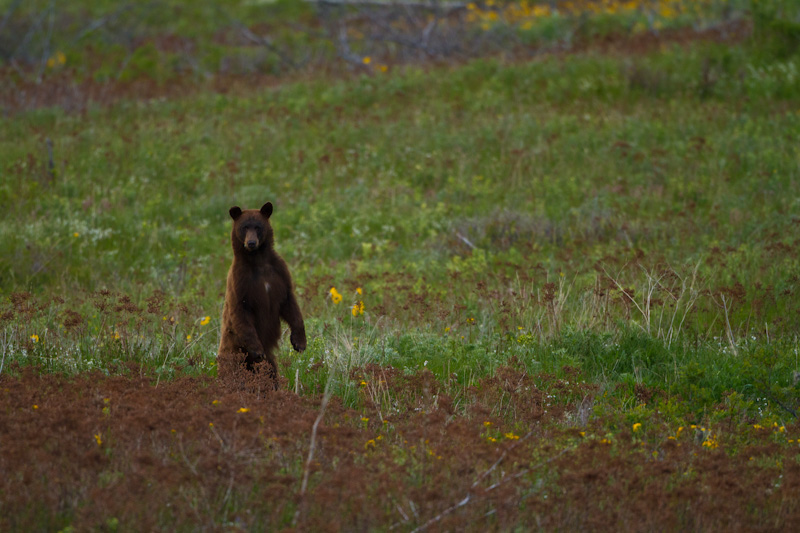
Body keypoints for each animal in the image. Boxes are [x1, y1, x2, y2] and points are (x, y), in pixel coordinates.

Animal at [216, 201, 306, 386]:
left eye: (258, 226)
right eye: (244, 227)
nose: (251, 242)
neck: (258, 261)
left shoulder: (280, 274)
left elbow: (290, 303)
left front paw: (299, 342)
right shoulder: (240, 281)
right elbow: (241, 311)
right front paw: (257, 349)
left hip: (268, 363)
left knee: (270, 372)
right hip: (233, 354)